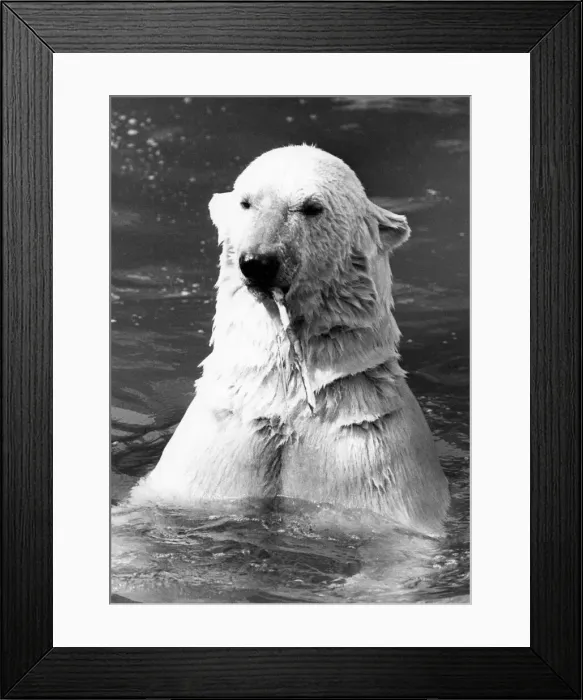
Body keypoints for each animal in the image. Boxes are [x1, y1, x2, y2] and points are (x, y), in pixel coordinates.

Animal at [128, 145, 450, 536]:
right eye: (246, 202)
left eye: (311, 207)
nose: (258, 262)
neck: (287, 405)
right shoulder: (208, 458)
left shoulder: (375, 467)